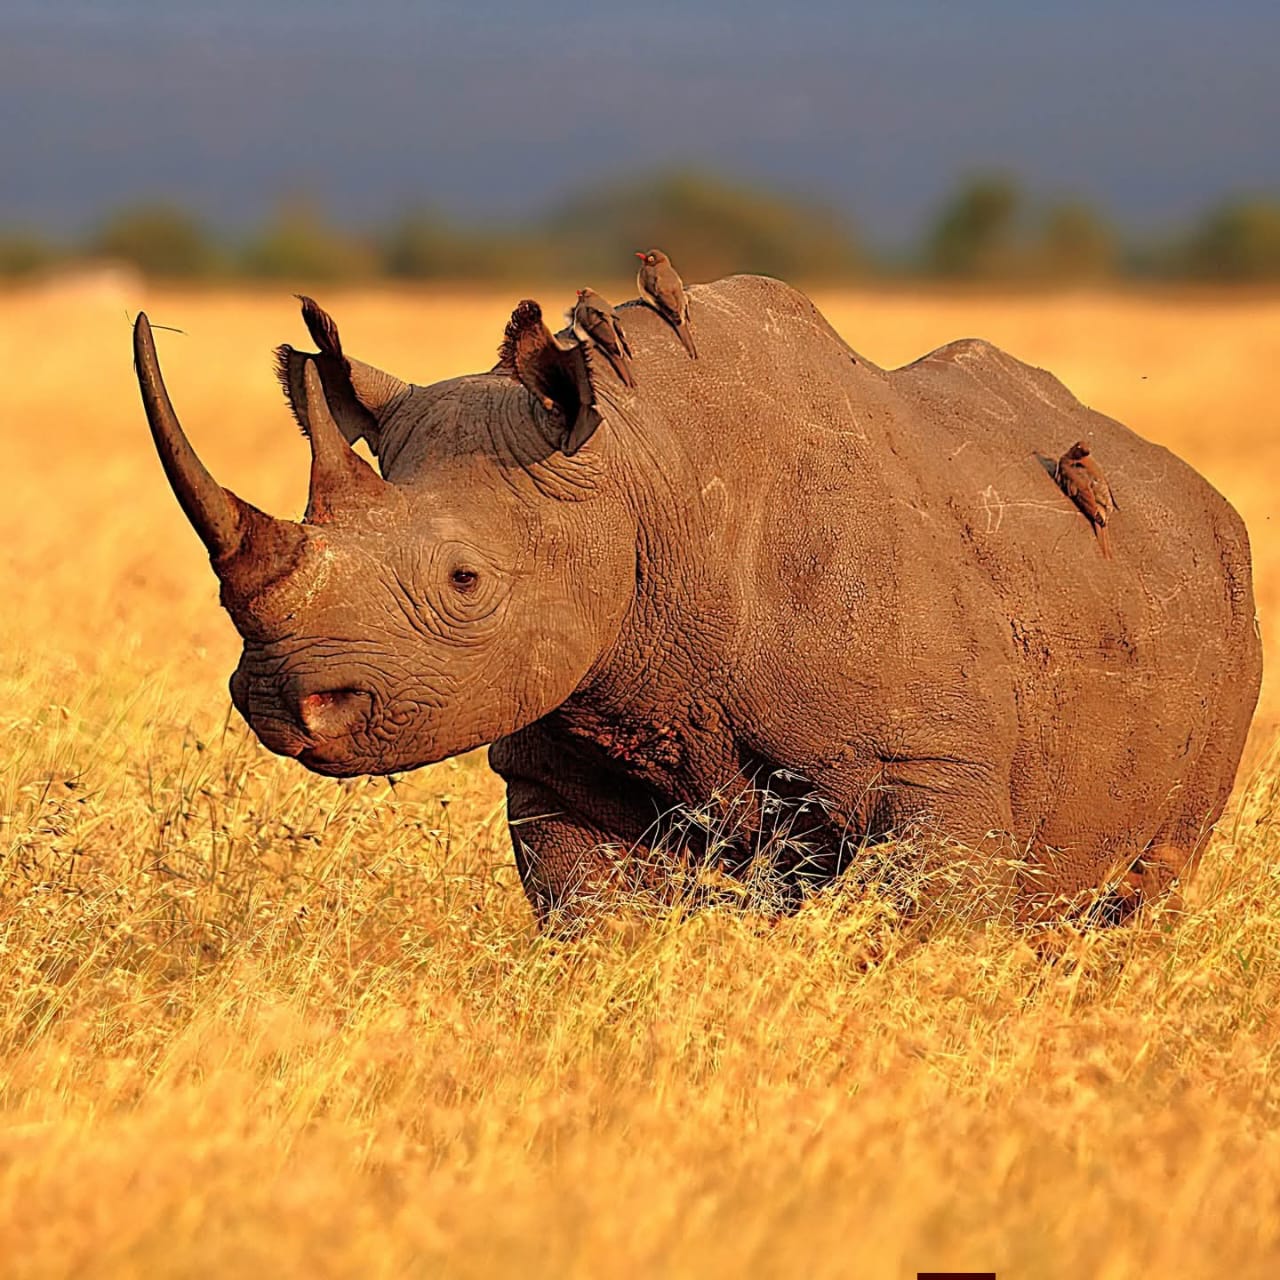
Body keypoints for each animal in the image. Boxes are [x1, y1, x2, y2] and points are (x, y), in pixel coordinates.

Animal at [132, 274, 1261, 925]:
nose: (281, 705)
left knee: (1141, 896)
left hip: (1227, 607)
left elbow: (913, 927)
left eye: (465, 581)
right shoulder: (562, 759)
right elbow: (596, 922)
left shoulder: (935, 770)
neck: (639, 475)